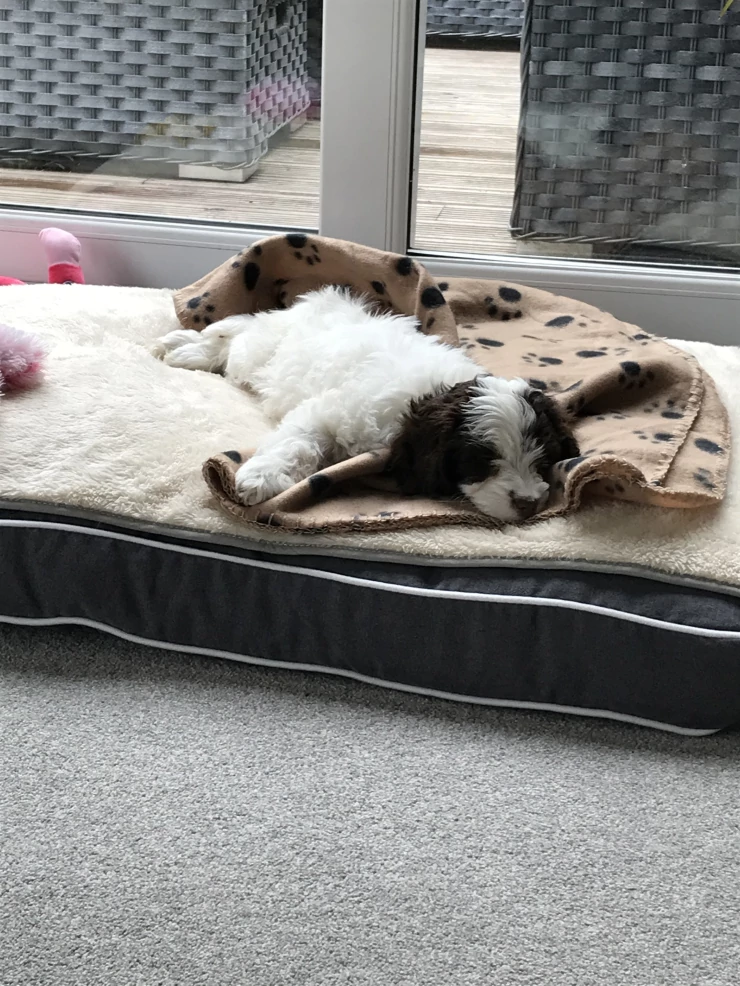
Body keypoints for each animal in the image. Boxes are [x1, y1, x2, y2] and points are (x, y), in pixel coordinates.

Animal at [157, 286, 578, 523]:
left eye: (542, 460)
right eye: (482, 461)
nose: (528, 504)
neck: (427, 396)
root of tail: (320, 303)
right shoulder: (329, 413)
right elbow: (295, 442)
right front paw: (261, 477)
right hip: (259, 353)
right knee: (236, 334)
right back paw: (185, 349)